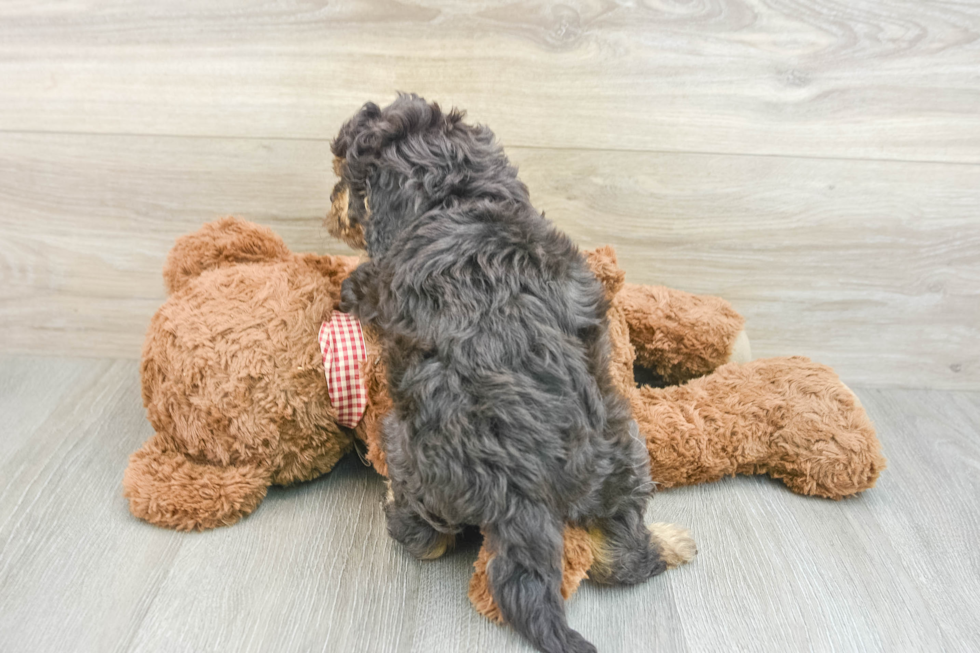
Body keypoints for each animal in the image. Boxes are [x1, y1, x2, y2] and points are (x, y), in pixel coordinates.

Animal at [330, 93, 668, 652]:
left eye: (349, 184)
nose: (332, 206)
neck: (457, 195)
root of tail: (521, 490)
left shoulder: (377, 284)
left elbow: (355, 284)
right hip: (624, 449)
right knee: (628, 549)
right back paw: (663, 545)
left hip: (410, 452)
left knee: (424, 535)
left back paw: (394, 508)